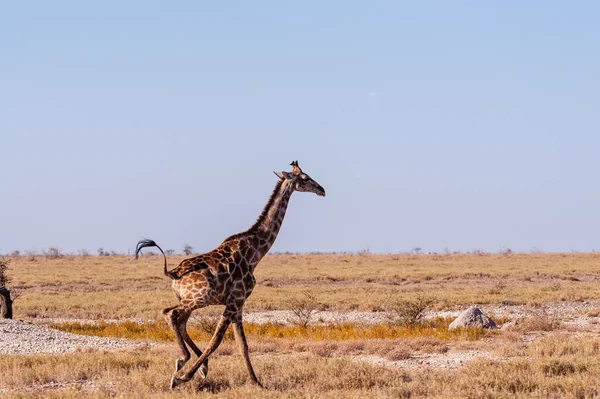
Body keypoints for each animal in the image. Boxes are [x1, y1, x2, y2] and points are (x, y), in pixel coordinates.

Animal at [135, 161, 326, 390]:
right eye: (305, 178)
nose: (322, 189)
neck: (255, 252)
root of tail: (173, 274)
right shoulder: (234, 301)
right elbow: (216, 341)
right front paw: (182, 377)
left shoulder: (239, 303)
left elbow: (242, 344)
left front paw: (257, 383)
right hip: (198, 298)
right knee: (170, 313)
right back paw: (185, 363)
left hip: (190, 300)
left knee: (180, 321)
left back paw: (194, 362)